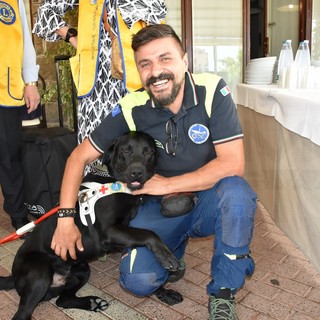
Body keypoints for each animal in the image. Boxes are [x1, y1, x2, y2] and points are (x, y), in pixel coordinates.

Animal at [0, 132, 180, 320]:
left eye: (149, 152)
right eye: (125, 150)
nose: (136, 172)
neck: (115, 181)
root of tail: (13, 275)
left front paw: (164, 292)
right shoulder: (110, 231)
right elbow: (148, 233)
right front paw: (167, 257)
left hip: (82, 268)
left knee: (63, 300)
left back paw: (92, 303)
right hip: (40, 274)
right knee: (23, 313)